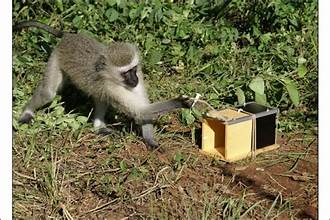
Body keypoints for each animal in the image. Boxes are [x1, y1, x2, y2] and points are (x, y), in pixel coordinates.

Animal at [14, 20, 192, 149]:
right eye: (125, 73)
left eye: (133, 69)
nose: (134, 80)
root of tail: (69, 36)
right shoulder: (112, 87)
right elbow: (140, 111)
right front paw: (181, 102)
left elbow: (142, 110)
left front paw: (149, 140)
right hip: (56, 57)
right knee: (48, 93)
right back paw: (27, 113)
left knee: (100, 98)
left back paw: (99, 127)